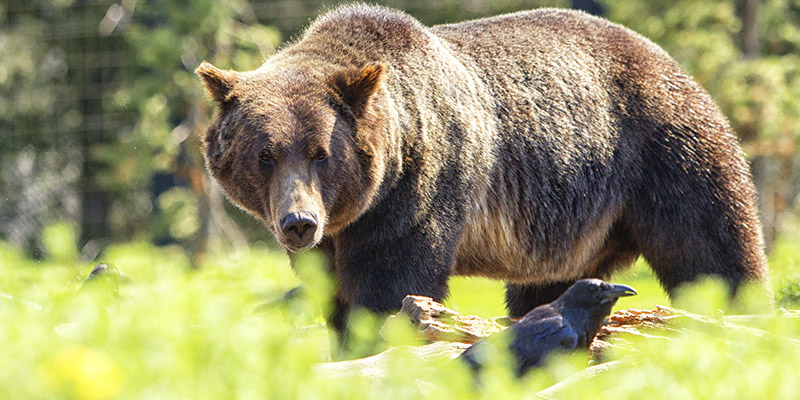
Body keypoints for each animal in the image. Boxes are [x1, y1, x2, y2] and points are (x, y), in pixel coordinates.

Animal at [195, 4, 768, 334]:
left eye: (321, 153)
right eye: (264, 155)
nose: (299, 223)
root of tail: (667, 58)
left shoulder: (418, 189)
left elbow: (391, 282)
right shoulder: (336, 234)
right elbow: (329, 287)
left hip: (664, 149)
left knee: (711, 247)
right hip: (574, 220)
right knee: (548, 287)